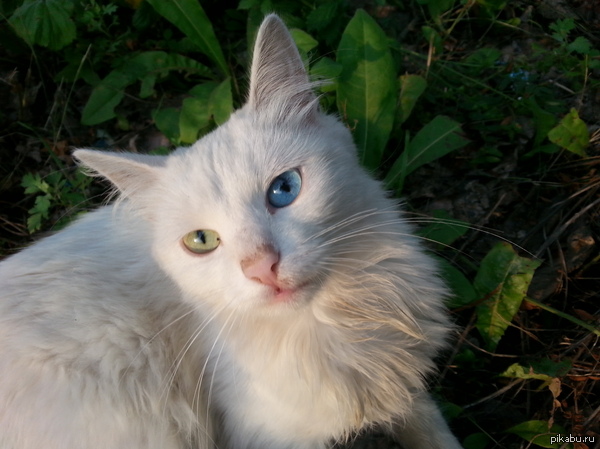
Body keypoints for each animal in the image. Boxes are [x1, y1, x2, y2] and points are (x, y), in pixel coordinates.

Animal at [0, 14, 464, 448]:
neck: (339, 320)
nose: (262, 267)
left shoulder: (406, 387)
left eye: (284, 189)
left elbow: (435, 433)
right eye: (201, 241)